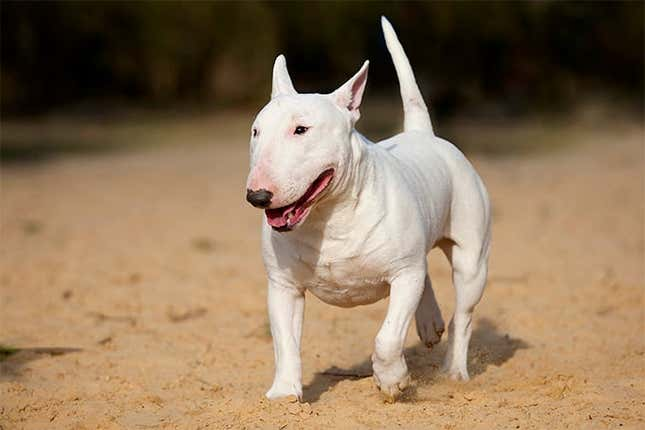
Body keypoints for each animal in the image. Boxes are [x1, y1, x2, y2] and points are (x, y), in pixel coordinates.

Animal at [244, 15, 490, 402]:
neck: (328, 217)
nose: (257, 196)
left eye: (301, 129)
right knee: (427, 276)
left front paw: (392, 380)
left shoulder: (404, 274)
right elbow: (285, 341)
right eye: (256, 131)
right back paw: (429, 323)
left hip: (471, 260)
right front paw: (284, 393)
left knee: (462, 315)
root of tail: (421, 134)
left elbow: (387, 337)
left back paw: (454, 370)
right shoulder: (283, 285)